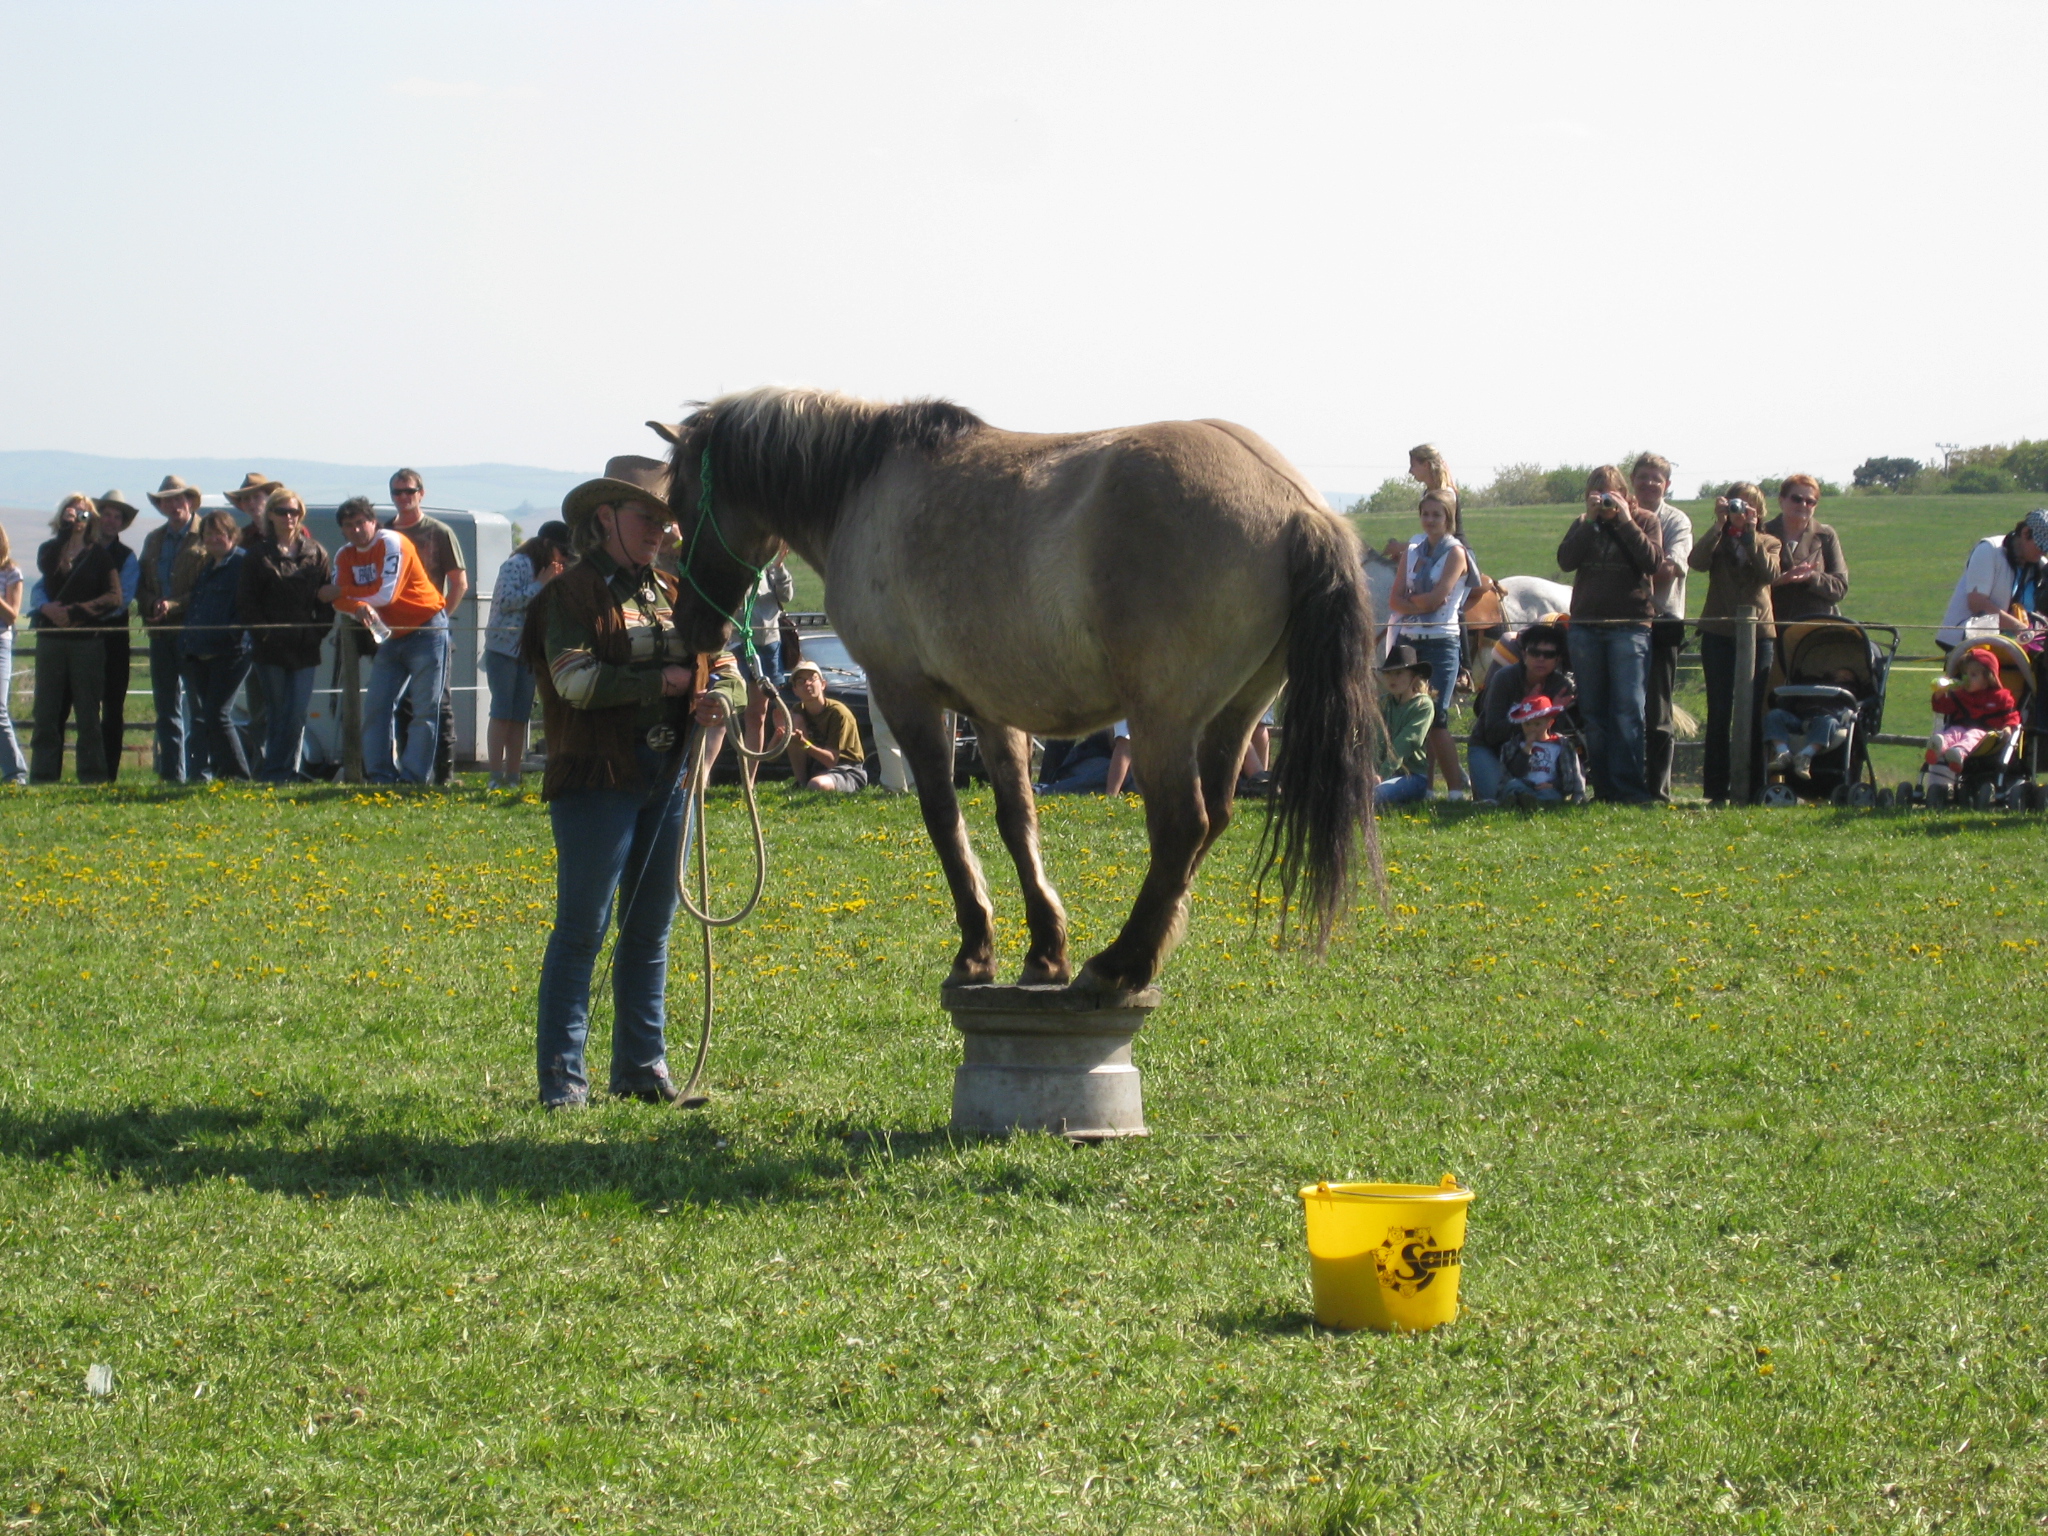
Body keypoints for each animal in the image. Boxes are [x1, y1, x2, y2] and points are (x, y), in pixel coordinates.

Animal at [659, 387, 1376, 999]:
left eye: (682, 504)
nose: (692, 627)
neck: (863, 485)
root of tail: (1299, 506)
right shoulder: (991, 710)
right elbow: (1016, 821)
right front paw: (1043, 951)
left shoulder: (905, 695)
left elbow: (943, 816)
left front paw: (975, 952)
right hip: (1235, 714)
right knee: (1211, 821)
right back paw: (1132, 956)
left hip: (1162, 723)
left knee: (1182, 827)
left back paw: (1119, 963)